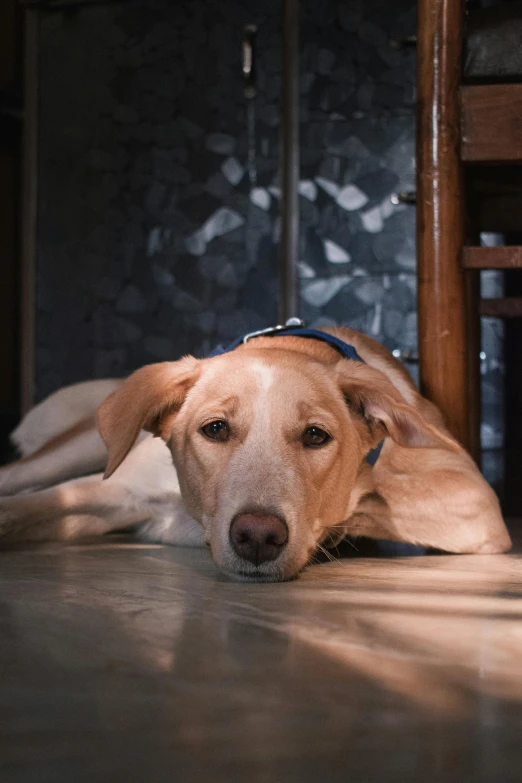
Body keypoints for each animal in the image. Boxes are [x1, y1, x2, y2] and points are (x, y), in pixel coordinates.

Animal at [0, 324, 510, 580]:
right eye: (215, 429)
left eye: (316, 436)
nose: (258, 537)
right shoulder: (116, 492)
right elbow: (18, 511)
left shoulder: (471, 494)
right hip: (74, 449)